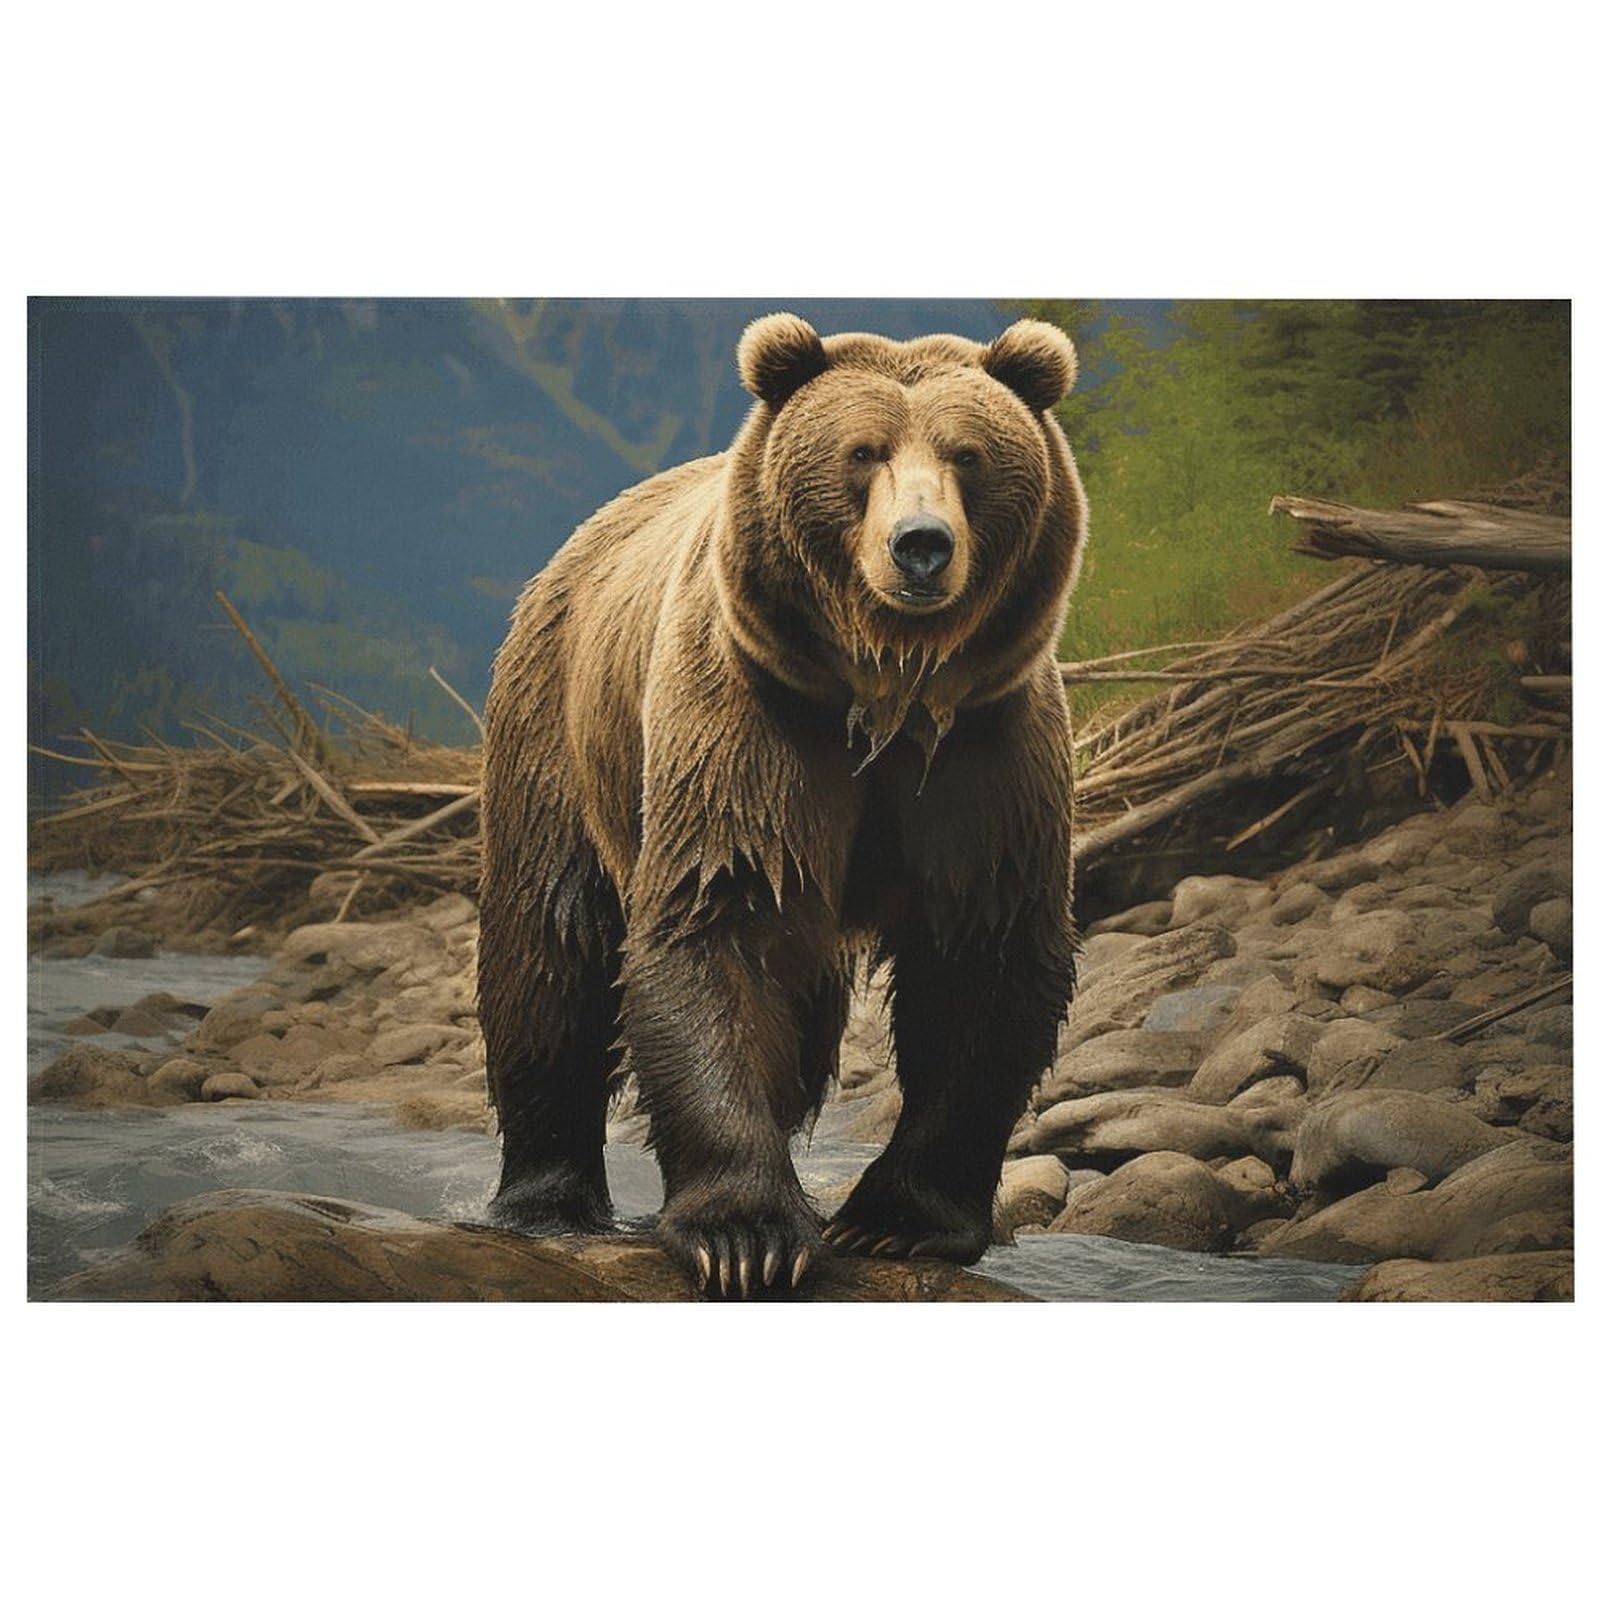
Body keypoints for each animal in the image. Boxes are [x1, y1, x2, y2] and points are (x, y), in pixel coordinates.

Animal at [477, 312, 1087, 1298]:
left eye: (968, 455)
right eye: (863, 451)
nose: (922, 545)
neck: (886, 693)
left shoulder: (984, 750)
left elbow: (982, 956)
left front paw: (897, 1220)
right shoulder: (750, 719)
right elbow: (723, 921)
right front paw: (745, 1234)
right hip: (559, 733)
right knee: (547, 952)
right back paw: (547, 1198)